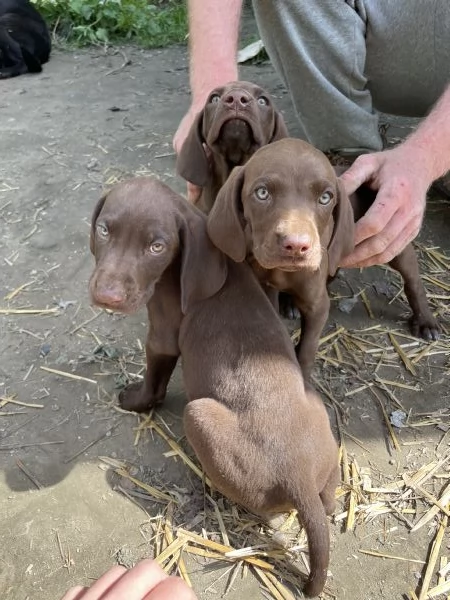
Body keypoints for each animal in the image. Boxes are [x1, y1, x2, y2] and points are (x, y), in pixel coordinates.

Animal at [89, 177, 340, 596]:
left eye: (157, 247)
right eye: (104, 230)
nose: (106, 297)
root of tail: (300, 478)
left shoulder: (162, 336)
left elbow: (153, 382)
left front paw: (133, 399)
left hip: (198, 414)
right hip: (317, 418)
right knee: (329, 496)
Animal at [207, 138, 440, 380]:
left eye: (325, 198)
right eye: (262, 193)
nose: (296, 246)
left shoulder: (318, 307)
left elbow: (307, 348)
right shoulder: (264, 285)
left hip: (395, 244)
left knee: (413, 279)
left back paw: (426, 321)